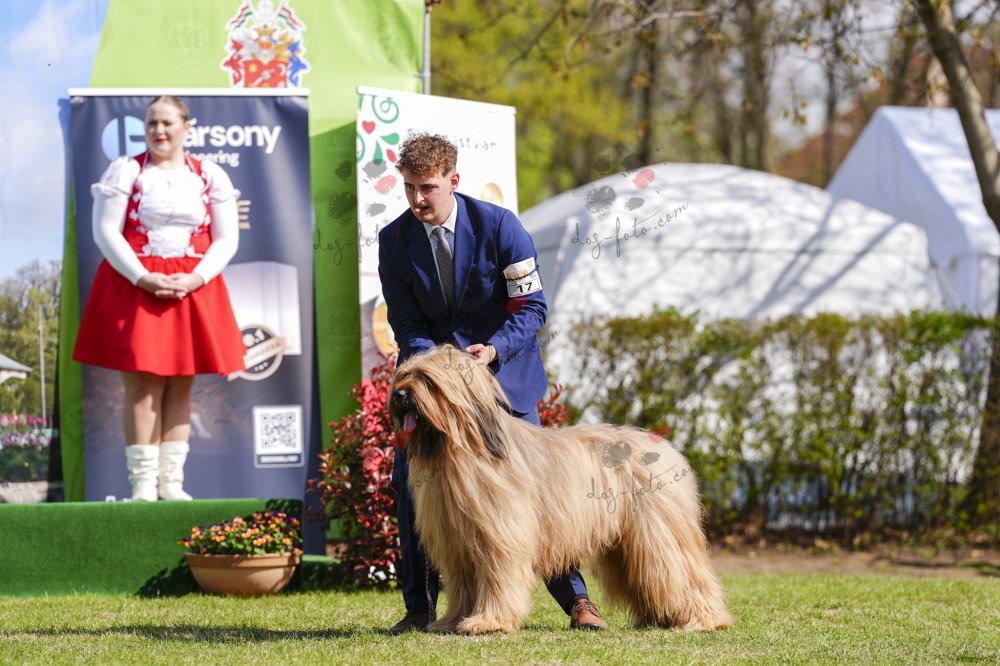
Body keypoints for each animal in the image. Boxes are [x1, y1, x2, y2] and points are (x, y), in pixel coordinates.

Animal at [389, 345, 734, 635]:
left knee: (683, 574)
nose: (399, 396)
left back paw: (705, 619)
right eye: (403, 374)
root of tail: (666, 448)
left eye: (426, 379)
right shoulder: (457, 544)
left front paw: (488, 621)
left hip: (659, 536)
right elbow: (462, 587)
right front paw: (451, 621)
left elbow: (498, 579)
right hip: (626, 546)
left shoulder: (499, 538)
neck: (461, 450)